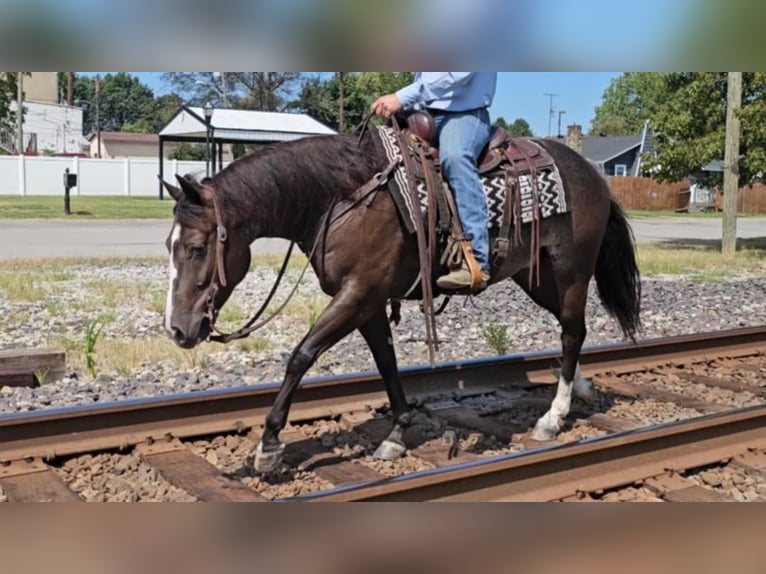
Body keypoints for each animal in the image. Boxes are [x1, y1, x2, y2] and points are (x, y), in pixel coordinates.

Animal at [161, 128, 641, 473]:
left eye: (198, 248)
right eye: (169, 245)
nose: (178, 329)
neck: (342, 197)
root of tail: (594, 175)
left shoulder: (357, 293)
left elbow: (301, 356)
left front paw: (269, 445)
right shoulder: (369, 302)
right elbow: (386, 364)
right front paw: (396, 434)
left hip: (571, 272)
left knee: (573, 331)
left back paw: (552, 418)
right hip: (537, 277)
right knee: (570, 330)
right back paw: (579, 389)